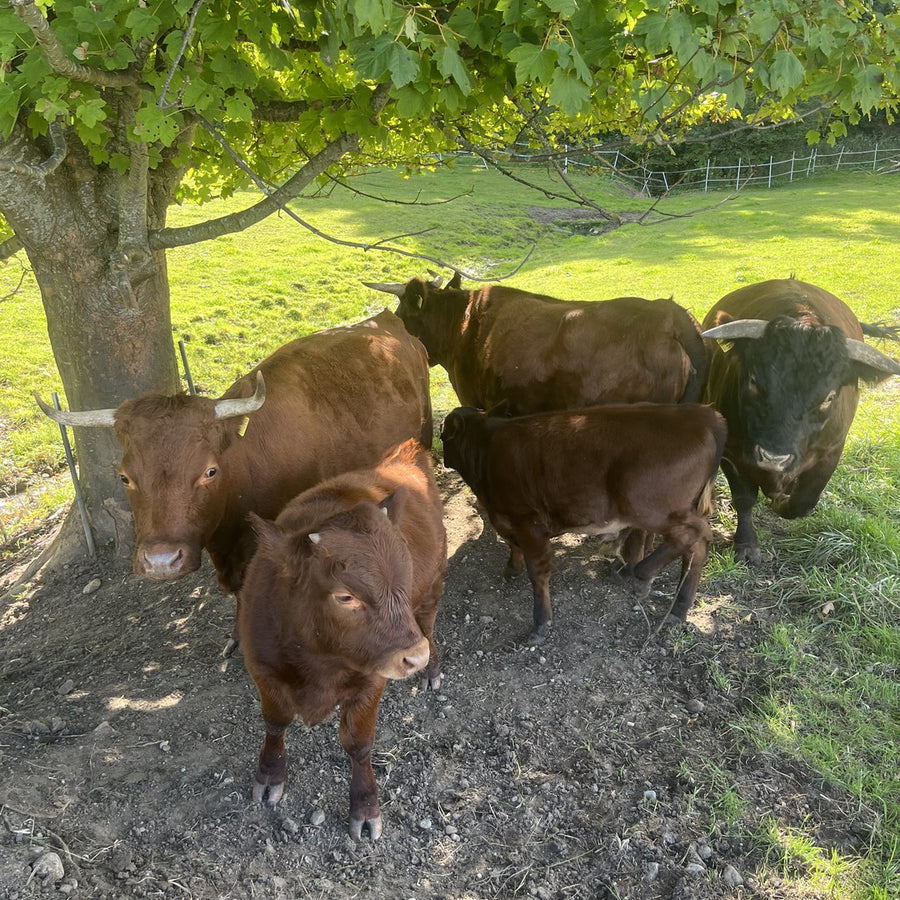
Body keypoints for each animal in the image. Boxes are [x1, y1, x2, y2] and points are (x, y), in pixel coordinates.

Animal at [238, 439, 446, 842]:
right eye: (345, 596)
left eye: (405, 573)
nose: (414, 657)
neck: (319, 660)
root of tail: (405, 452)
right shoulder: (263, 670)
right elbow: (275, 721)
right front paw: (269, 774)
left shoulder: (371, 681)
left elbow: (358, 744)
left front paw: (365, 807)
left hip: (432, 590)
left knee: (428, 624)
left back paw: (431, 670)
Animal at [440, 403, 727, 641]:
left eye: (442, 435)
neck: (487, 448)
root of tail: (705, 415)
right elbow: (513, 546)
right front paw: (512, 569)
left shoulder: (529, 522)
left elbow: (538, 572)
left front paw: (541, 623)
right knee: (695, 547)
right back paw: (679, 607)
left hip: (649, 507)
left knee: (697, 534)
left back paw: (643, 575)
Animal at [701, 278, 900, 565]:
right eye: (754, 381)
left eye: (829, 397)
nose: (773, 458)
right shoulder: (732, 451)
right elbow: (744, 498)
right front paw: (747, 545)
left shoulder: (831, 452)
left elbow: (802, 502)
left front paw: (780, 499)